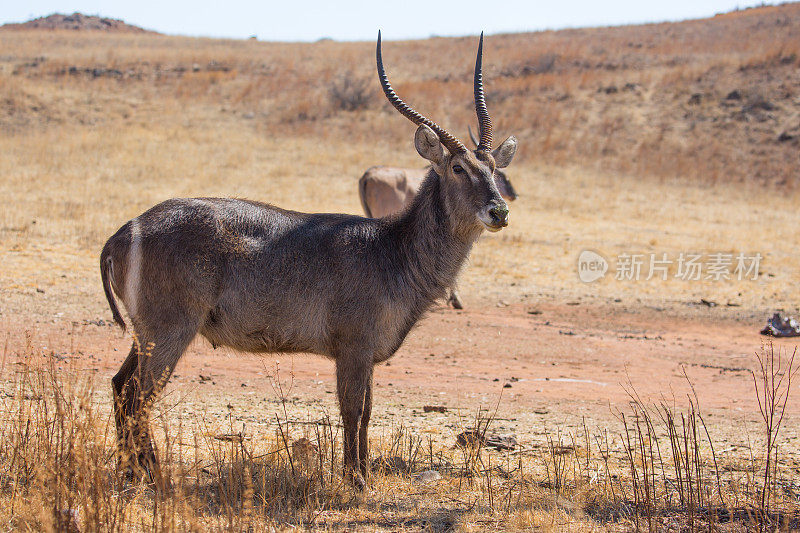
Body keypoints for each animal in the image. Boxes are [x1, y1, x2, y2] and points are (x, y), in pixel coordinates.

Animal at [98, 31, 520, 488]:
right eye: (459, 167)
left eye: (493, 166)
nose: (499, 211)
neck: (392, 250)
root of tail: (123, 232)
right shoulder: (353, 347)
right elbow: (353, 410)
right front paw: (356, 480)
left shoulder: (367, 354)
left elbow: (367, 412)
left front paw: (361, 474)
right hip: (170, 328)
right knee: (138, 396)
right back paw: (157, 478)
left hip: (146, 332)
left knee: (120, 387)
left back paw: (133, 472)